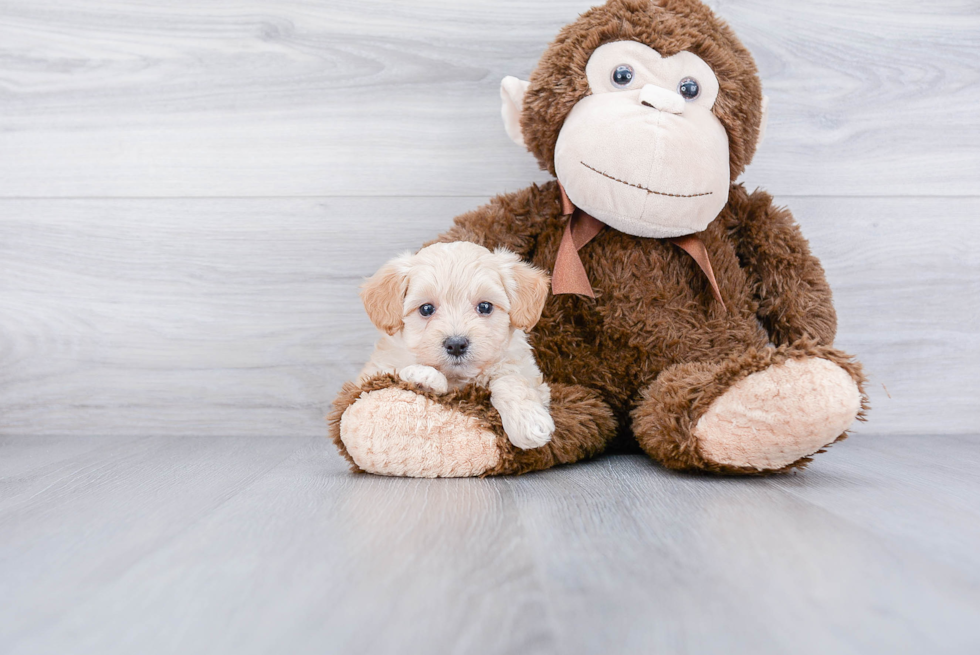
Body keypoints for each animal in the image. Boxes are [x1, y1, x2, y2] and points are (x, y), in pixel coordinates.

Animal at [358, 241, 560, 452]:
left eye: (485, 307)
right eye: (426, 309)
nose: (456, 344)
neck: (459, 379)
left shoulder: (528, 372)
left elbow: (510, 379)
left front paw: (527, 421)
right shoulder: (374, 371)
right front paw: (424, 377)